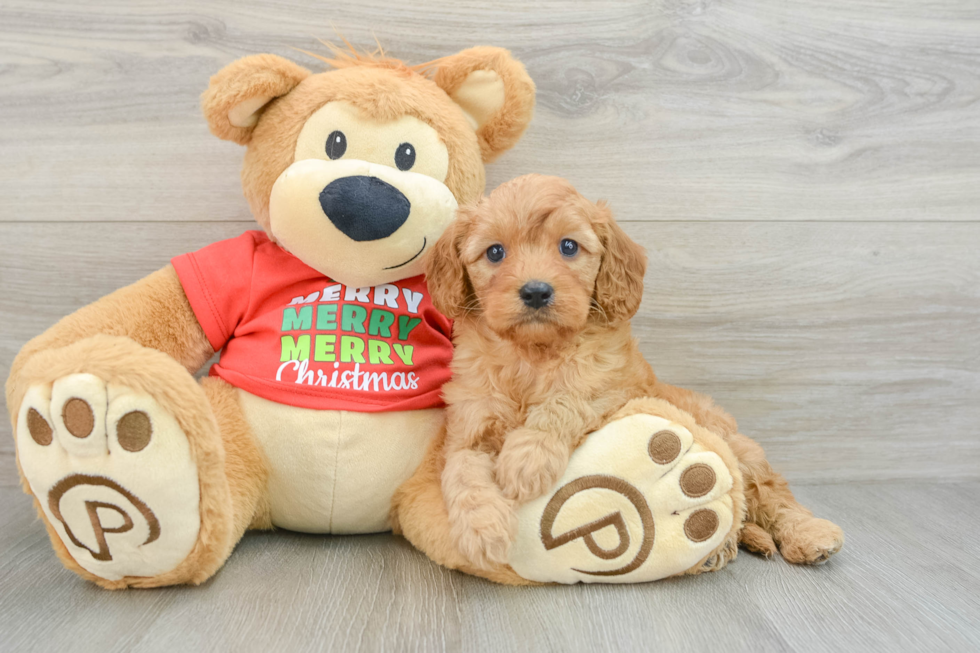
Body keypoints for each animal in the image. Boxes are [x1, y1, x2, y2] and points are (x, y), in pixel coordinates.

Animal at [424, 174, 848, 572]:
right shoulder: (469, 427)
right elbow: (462, 473)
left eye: (568, 246)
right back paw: (730, 546)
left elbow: (566, 400)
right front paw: (482, 532)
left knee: (771, 494)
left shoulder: (611, 388)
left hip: (737, 447)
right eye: (495, 252)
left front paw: (527, 458)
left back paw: (808, 535)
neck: (533, 355)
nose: (536, 292)